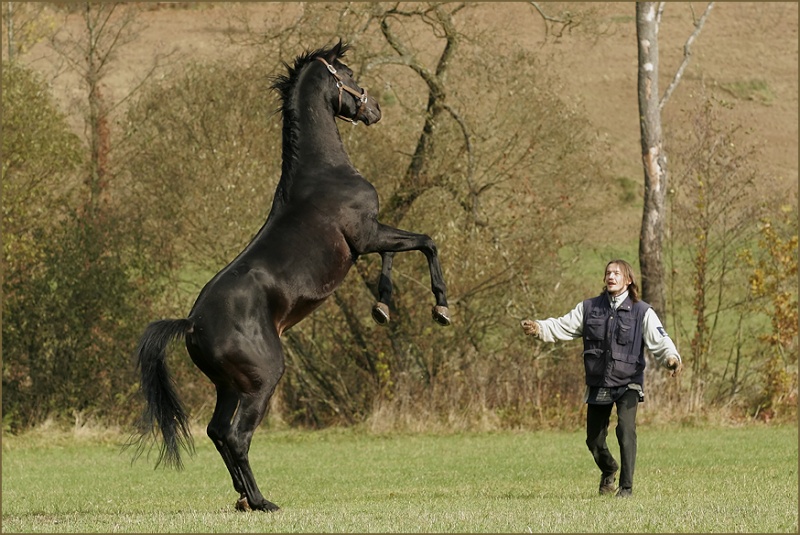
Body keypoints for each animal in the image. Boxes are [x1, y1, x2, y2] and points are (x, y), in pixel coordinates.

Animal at [128, 40, 446, 510]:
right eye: (348, 74)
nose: (375, 110)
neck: (323, 173)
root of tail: (191, 323)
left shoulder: (371, 239)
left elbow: (397, 256)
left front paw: (382, 307)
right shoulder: (368, 236)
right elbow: (426, 242)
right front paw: (441, 308)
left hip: (229, 387)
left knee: (216, 432)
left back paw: (244, 498)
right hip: (262, 382)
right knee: (236, 436)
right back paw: (261, 501)